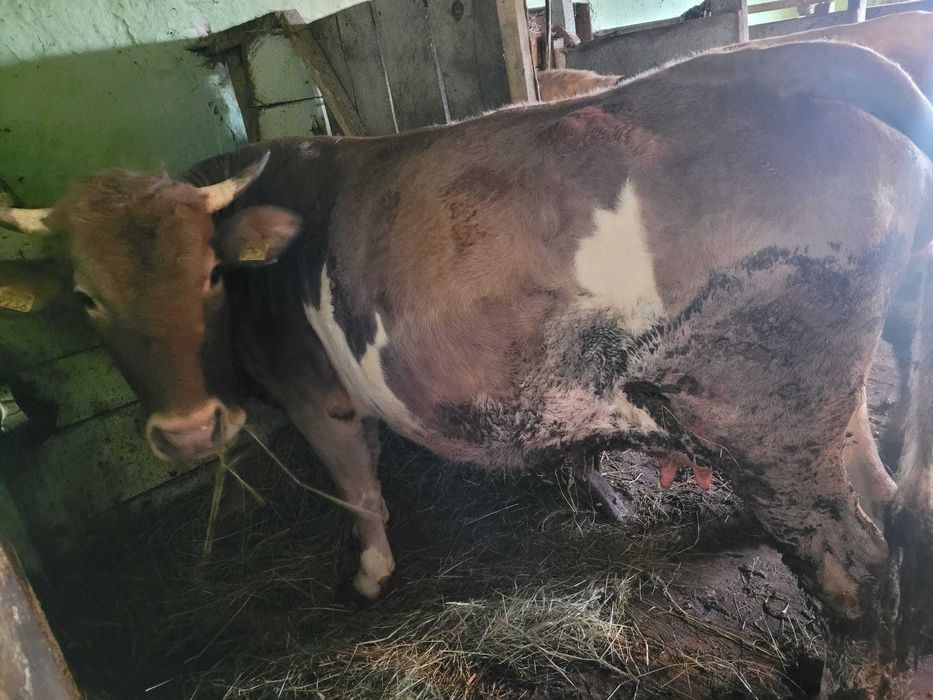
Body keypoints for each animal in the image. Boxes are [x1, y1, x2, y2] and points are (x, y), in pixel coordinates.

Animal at [3, 41, 933, 695]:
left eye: (207, 274)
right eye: (85, 298)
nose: (189, 432)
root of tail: (797, 62)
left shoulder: (318, 397)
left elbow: (360, 490)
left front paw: (370, 575)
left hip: (760, 411)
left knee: (855, 569)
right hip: (832, 404)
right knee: (887, 503)